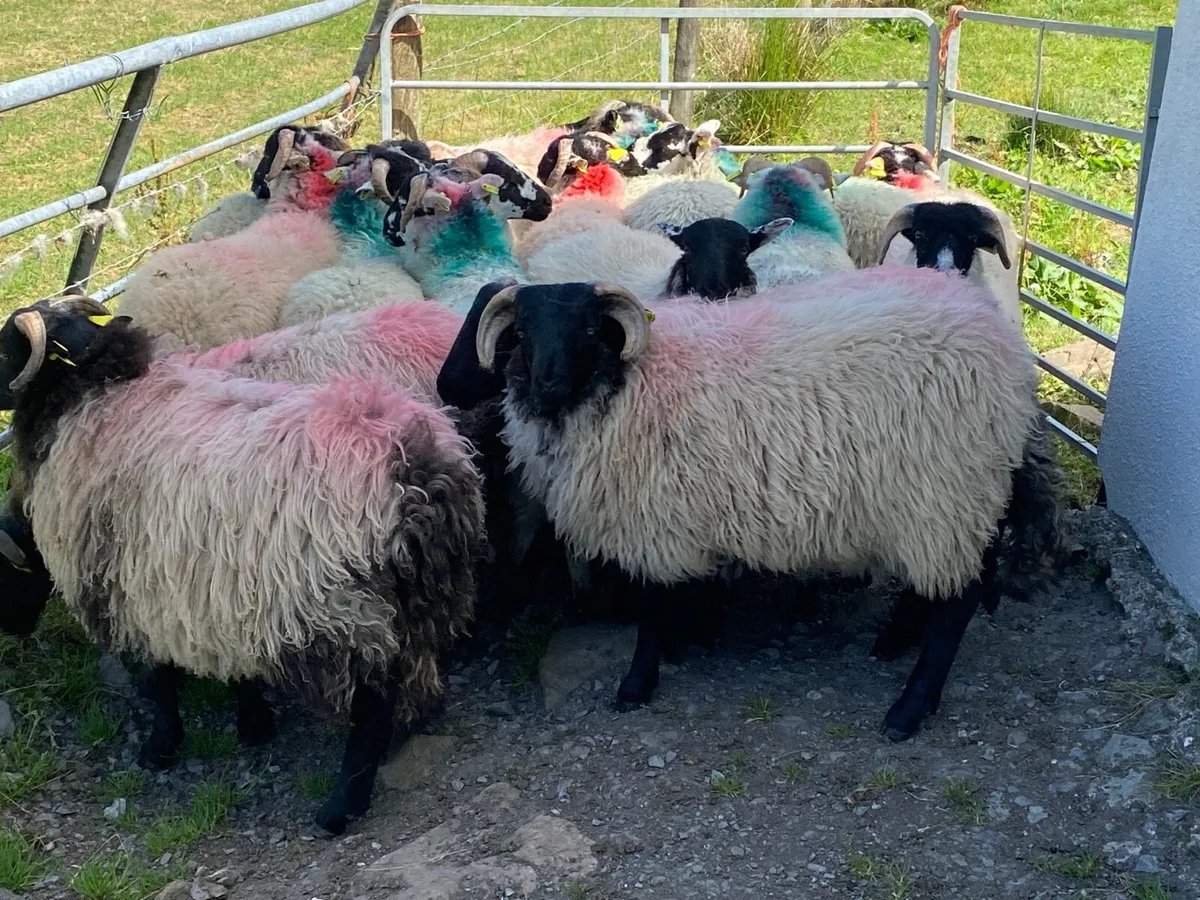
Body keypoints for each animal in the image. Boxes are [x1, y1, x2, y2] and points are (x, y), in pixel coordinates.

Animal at [0, 298, 484, 834]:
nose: (14, 631)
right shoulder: (221, 587)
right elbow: (237, 669)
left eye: (3, 348)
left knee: (371, 703)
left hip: (346, 608)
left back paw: (341, 807)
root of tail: (413, 470)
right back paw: (416, 719)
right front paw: (253, 725)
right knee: (418, 662)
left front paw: (159, 748)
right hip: (424, 592)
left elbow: (157, 681)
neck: (94, 393)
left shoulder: (133, 586)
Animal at [463, 270, 1053, 740]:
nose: (548, 384)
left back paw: (908, 710)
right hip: (939, 503)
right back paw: (893, 642)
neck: (628, 382)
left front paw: (638, 683)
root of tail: (1010, 354)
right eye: (523, 333)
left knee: (957, 603)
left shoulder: (657, 520)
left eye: (588, 329)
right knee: (932, 587)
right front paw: (692, 637)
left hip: (950, 491)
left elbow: (652, 611)